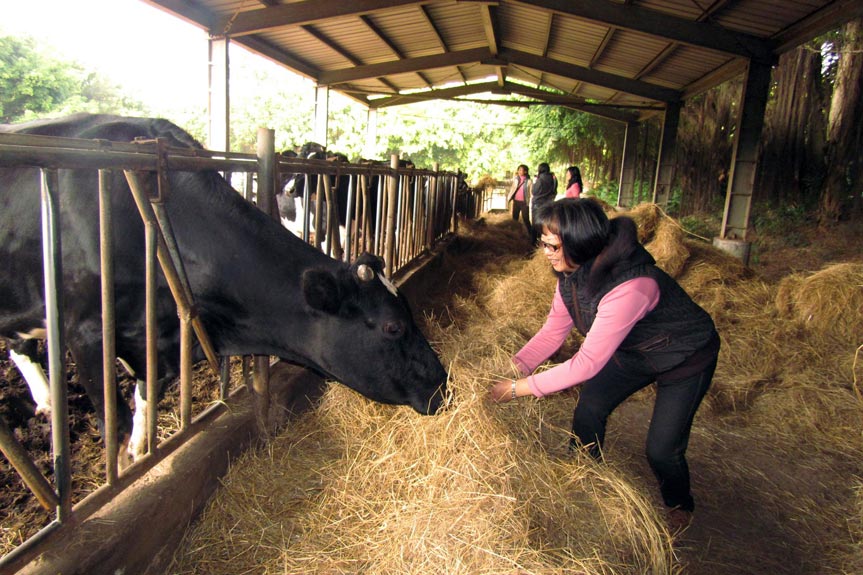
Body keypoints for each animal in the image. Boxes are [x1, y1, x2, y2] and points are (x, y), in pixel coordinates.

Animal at [0, 113, 449, 464]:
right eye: (393, 327)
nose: (443, 383)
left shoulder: (157, 347)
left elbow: (144, 405)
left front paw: (142, 450)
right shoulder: (85, 333)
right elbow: (115, 427)